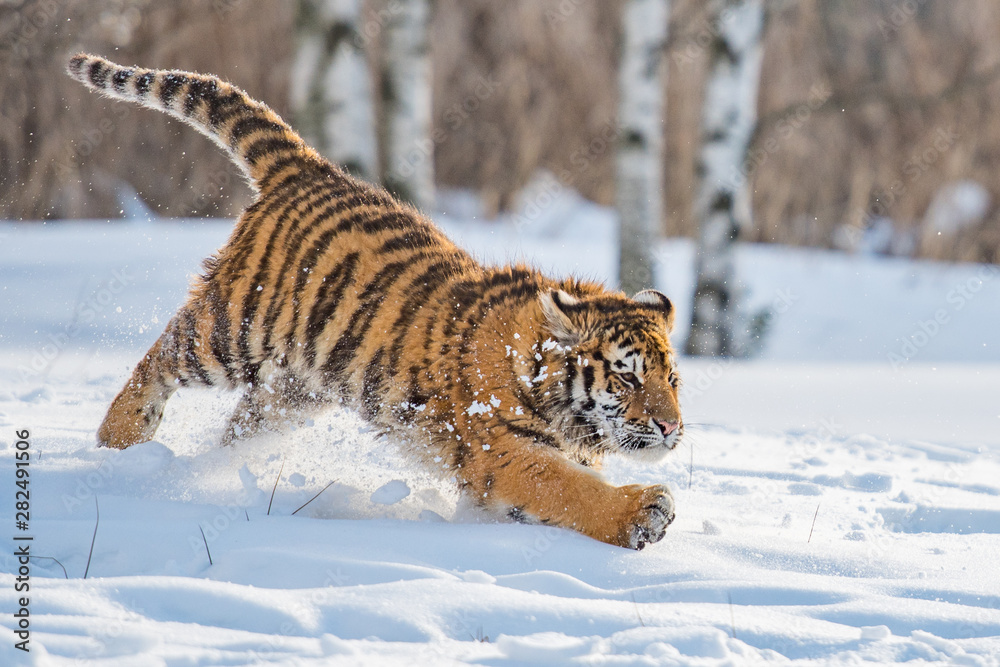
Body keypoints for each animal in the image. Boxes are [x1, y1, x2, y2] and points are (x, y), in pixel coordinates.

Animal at [66, 53, 684, 550]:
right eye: (627, 378)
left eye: (672, 381)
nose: (671, 428)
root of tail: (308, 168)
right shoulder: (506, 452)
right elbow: (571, 490)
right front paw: (644, 512)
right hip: (232, 330)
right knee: (163, 355)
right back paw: (120, 439)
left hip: (296, 387)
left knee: (238, 426)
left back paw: (204, 471)